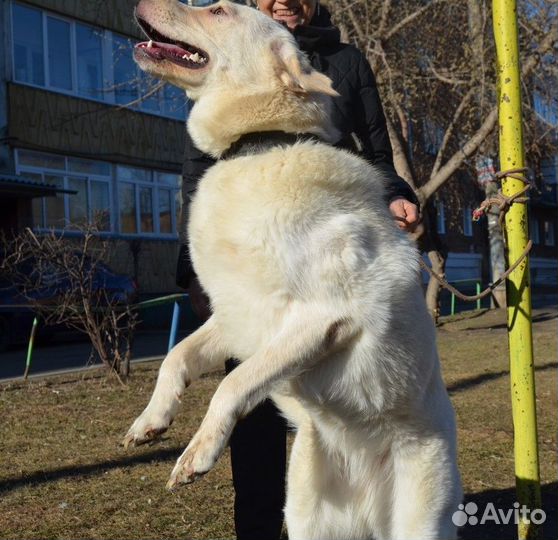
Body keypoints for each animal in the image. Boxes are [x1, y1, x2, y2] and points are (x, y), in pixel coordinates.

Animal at [126, 2, 464, 536]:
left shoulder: (323, 318)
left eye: (217, 10)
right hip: (306, 514)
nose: (137, 4)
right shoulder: (234, 318)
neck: (260, 145)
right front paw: (151, 421)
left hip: (419, 520)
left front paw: (198, 453)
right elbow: (175, 358)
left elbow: (232, 384)